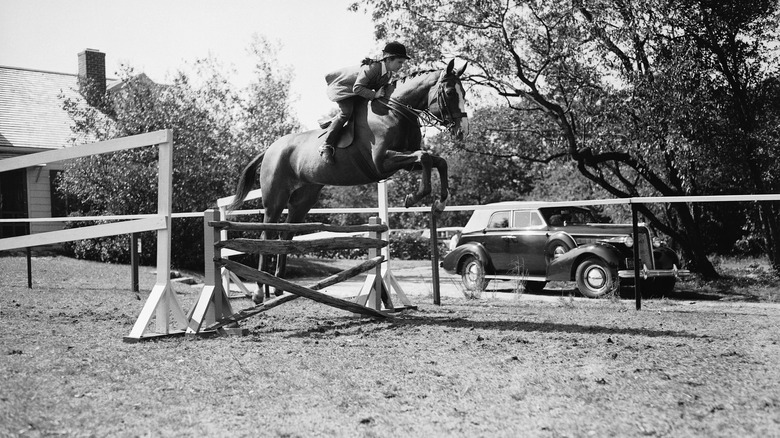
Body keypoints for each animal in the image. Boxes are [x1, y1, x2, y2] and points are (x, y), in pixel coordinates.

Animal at [229, 60, 466, 302]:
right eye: (450, 92)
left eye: (464, 93)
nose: (461, 131)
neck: (395, 111)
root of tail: (270, 148)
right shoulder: (383, 162)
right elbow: (425, 157)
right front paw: (413, 197)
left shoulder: (406, 162)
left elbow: (438, 161)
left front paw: (440, 203)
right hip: (275, 198)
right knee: (266, 233)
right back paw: (259, 290)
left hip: (303, 199)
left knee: (286, 234)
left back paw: (278, 287)